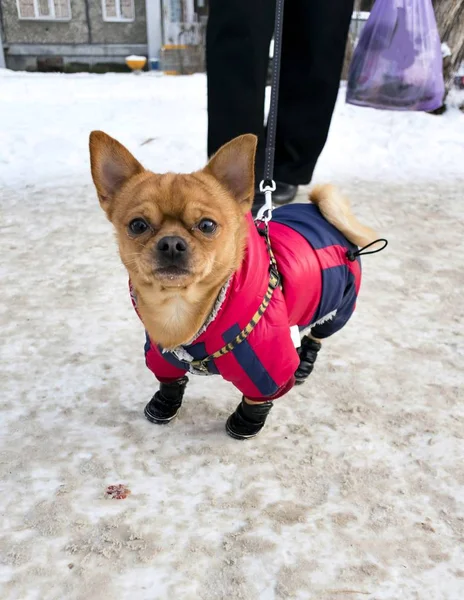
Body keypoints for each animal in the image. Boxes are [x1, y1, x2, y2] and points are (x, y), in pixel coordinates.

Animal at [89, 132, 378, 440]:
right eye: (137, 225)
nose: (171, 243)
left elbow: (256, 400)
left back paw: (304, 364)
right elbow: (170, 382)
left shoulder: (267, 371)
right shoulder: (162, 357)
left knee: (317, 336)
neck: (183, 313)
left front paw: (245, 424)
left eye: (206, 225)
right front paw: (164, 405)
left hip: (338, 307)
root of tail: (320, 212)